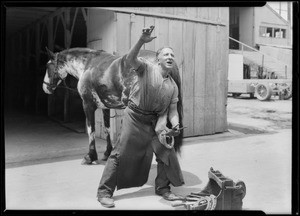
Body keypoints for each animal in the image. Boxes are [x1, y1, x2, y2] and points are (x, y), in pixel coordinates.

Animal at [42, 47, 183, 165]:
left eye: (48, 65)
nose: (45, 87)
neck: (88, 65)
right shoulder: (106, 107)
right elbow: (107, 129)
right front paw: (107, 153)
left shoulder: (88, 105)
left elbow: (91, 129)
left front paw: (90, 156)